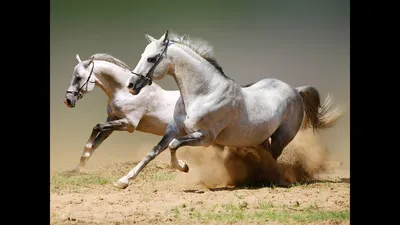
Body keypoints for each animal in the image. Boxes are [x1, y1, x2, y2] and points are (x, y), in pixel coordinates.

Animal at [113, 29, 344, 188]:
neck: (203, 93)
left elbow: (173, 146)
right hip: (261, 138)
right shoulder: (174, 130)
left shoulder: (205, 138)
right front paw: (123, 180)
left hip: (281, 138)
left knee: (273, 158)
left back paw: (270, 179)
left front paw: (184, 167)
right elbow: (153, 152)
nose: (131, 85)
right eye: (143, 55)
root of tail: (295, 90)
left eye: (151, 58)